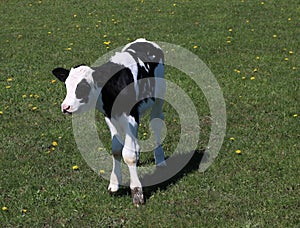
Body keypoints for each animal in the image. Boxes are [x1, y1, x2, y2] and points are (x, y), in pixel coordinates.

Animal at [53, 38, 168, 206]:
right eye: (67, 85)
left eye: (83, 86)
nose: (65, 107)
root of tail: (145, 41)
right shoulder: (110, 117)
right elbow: (116, 149)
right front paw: (114, 184)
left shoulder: (131, 116)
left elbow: (128, 155)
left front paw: (137, 193)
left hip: (159, 96)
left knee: (156, 123)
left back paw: (160, 161)